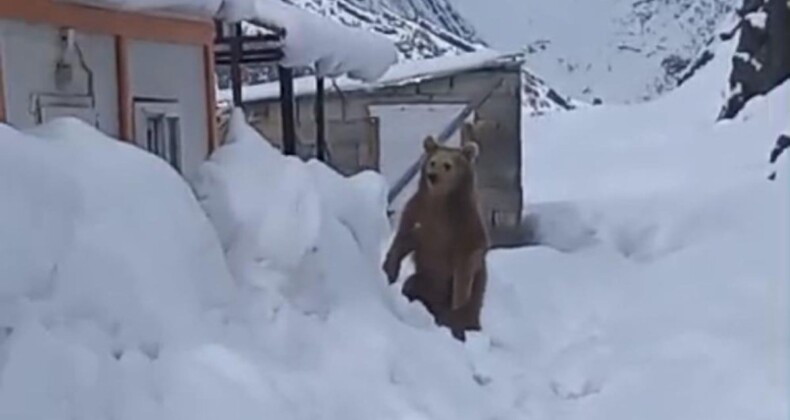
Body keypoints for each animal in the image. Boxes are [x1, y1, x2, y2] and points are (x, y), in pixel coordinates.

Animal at [384, 121, 488, 342]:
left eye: (447, 165)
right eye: (432, 162)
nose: (433, 176)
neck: (440, 202)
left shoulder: (465, 226)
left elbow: (466, 262)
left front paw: (458, 299)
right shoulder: (418, 214)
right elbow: (403, 240)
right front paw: (389, 270)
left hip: (475, 292)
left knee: (467, 312)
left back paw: (461, 329)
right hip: (425, 281)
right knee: (412, 285)